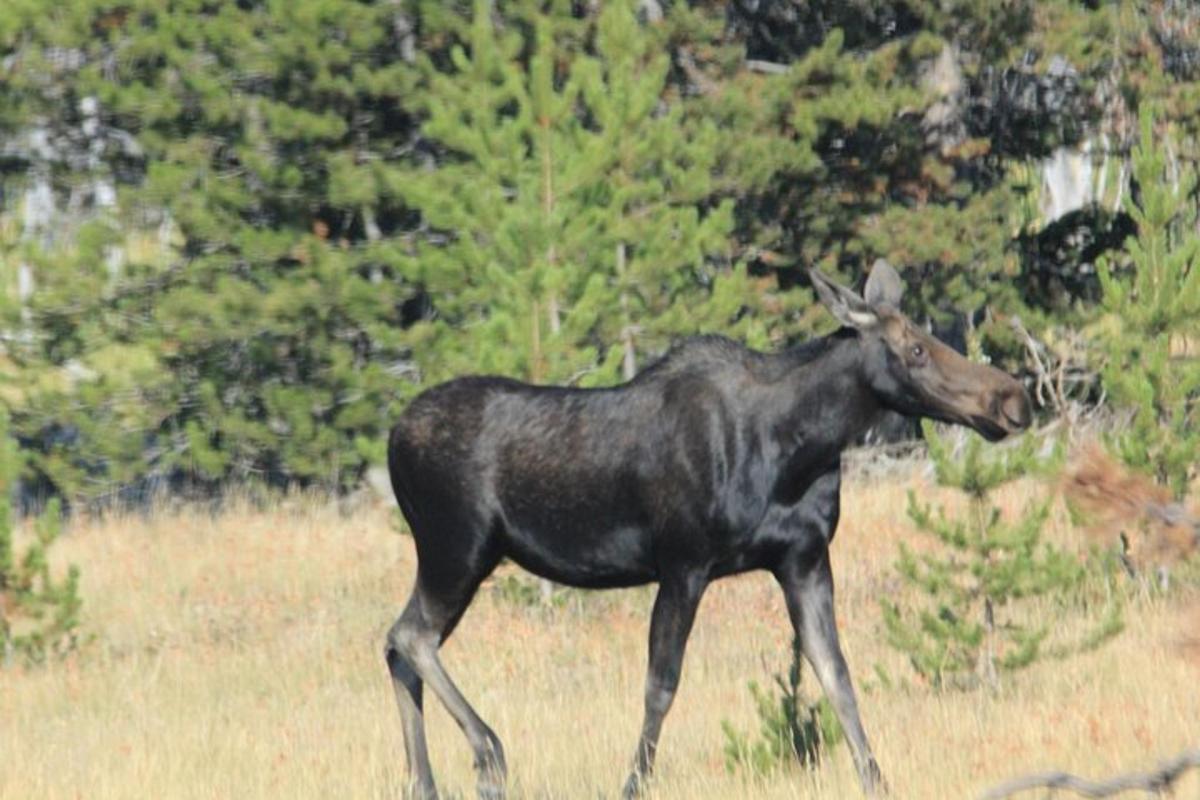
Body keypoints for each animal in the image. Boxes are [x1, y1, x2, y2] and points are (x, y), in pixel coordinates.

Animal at [384, 260, 1032, 796]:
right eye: (915, 349)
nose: (1011, 399)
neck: (799, 449)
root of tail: (392, 436)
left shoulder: (805, 560)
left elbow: (836, 676)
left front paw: (877, 781)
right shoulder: (683, 563)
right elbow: (661, 685)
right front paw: (631, 786)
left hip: (460, 556)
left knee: (399, 644)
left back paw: (425, 784)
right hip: (457, 545)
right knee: (409, 637)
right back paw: (488, 755)